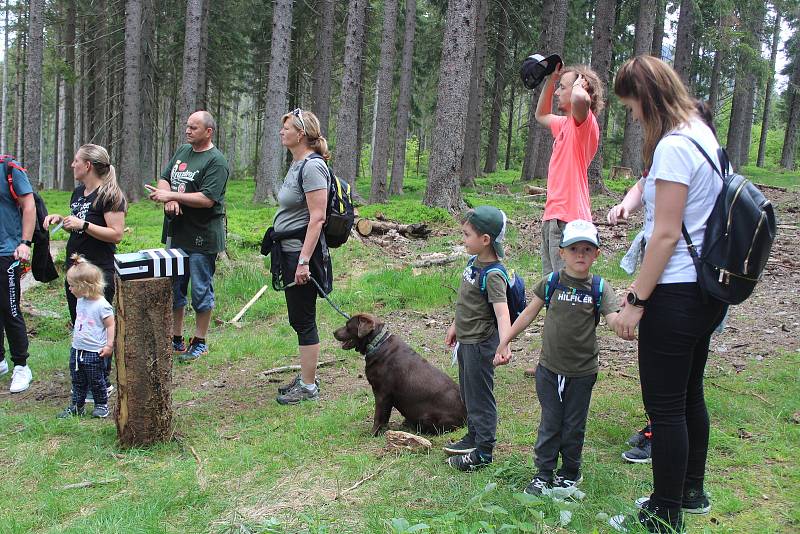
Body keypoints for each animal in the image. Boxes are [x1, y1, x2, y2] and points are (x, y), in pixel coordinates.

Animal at [334, 314, 466, 436]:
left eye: (347, 325)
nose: (333, 332)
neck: (377, 343)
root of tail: (465, 418)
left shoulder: (382, 394)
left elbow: (379, 416)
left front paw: (373, 433)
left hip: (426, 417)